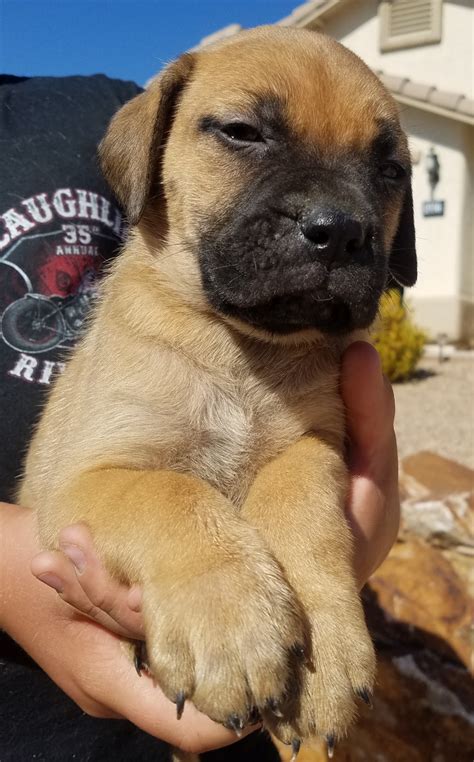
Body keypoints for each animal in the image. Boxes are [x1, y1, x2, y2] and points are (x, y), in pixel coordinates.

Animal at [21, 25, 414, 760]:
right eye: (242, 133)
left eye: (391, 171)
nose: (341, 230)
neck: (237, 350)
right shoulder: (82, 479)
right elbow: (172, 494)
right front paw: (233, 625)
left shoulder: (318, 439)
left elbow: (296, 498)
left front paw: (324, 651)